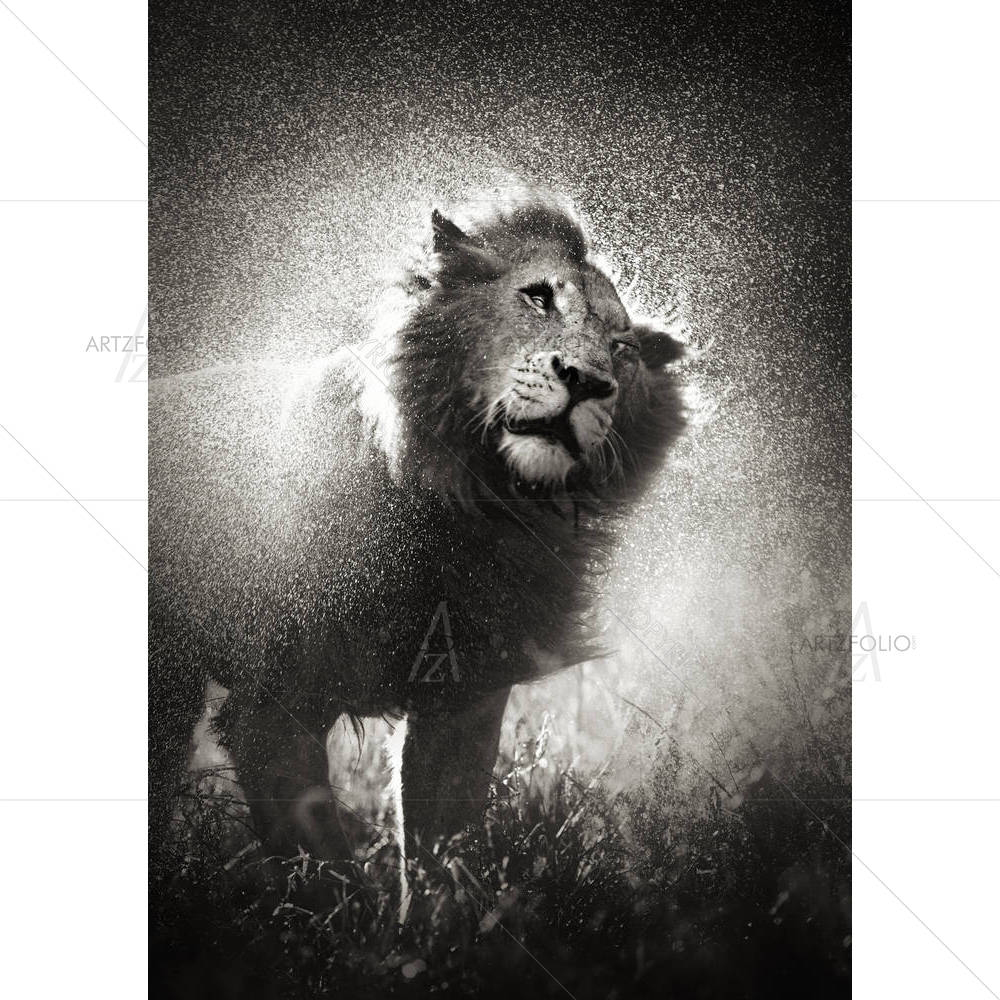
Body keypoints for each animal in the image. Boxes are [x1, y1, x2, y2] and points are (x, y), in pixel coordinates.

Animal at [149, 190, 686, 895]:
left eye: (621, 347)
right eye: (538, 297)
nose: (587, 380)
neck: (466, 509)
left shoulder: (464, 700)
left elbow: (442, 861)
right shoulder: (272, 709)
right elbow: (328, 875)